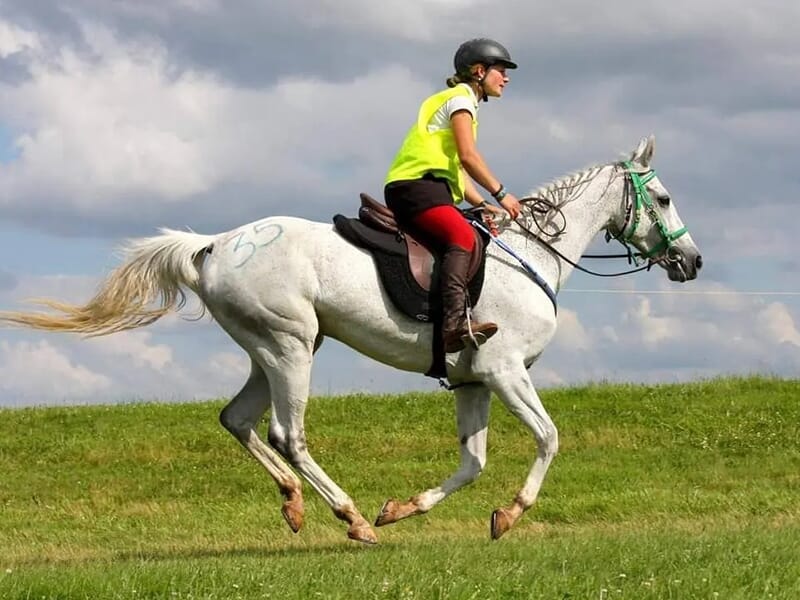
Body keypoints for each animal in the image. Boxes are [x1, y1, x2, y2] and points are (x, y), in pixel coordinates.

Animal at [0, 136, 700, 544]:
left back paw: (296, 505)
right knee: (289, 432)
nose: (691, 262)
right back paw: (352, 519)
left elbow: (471, 463)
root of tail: (215, 245)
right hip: (289, 345)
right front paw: (510, 513)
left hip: (274, 348)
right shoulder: (505, 370)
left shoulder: (473, 381)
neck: (532, 254)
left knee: (237, 419)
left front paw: (404, 508)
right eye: (664, 198)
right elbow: (548, 437)